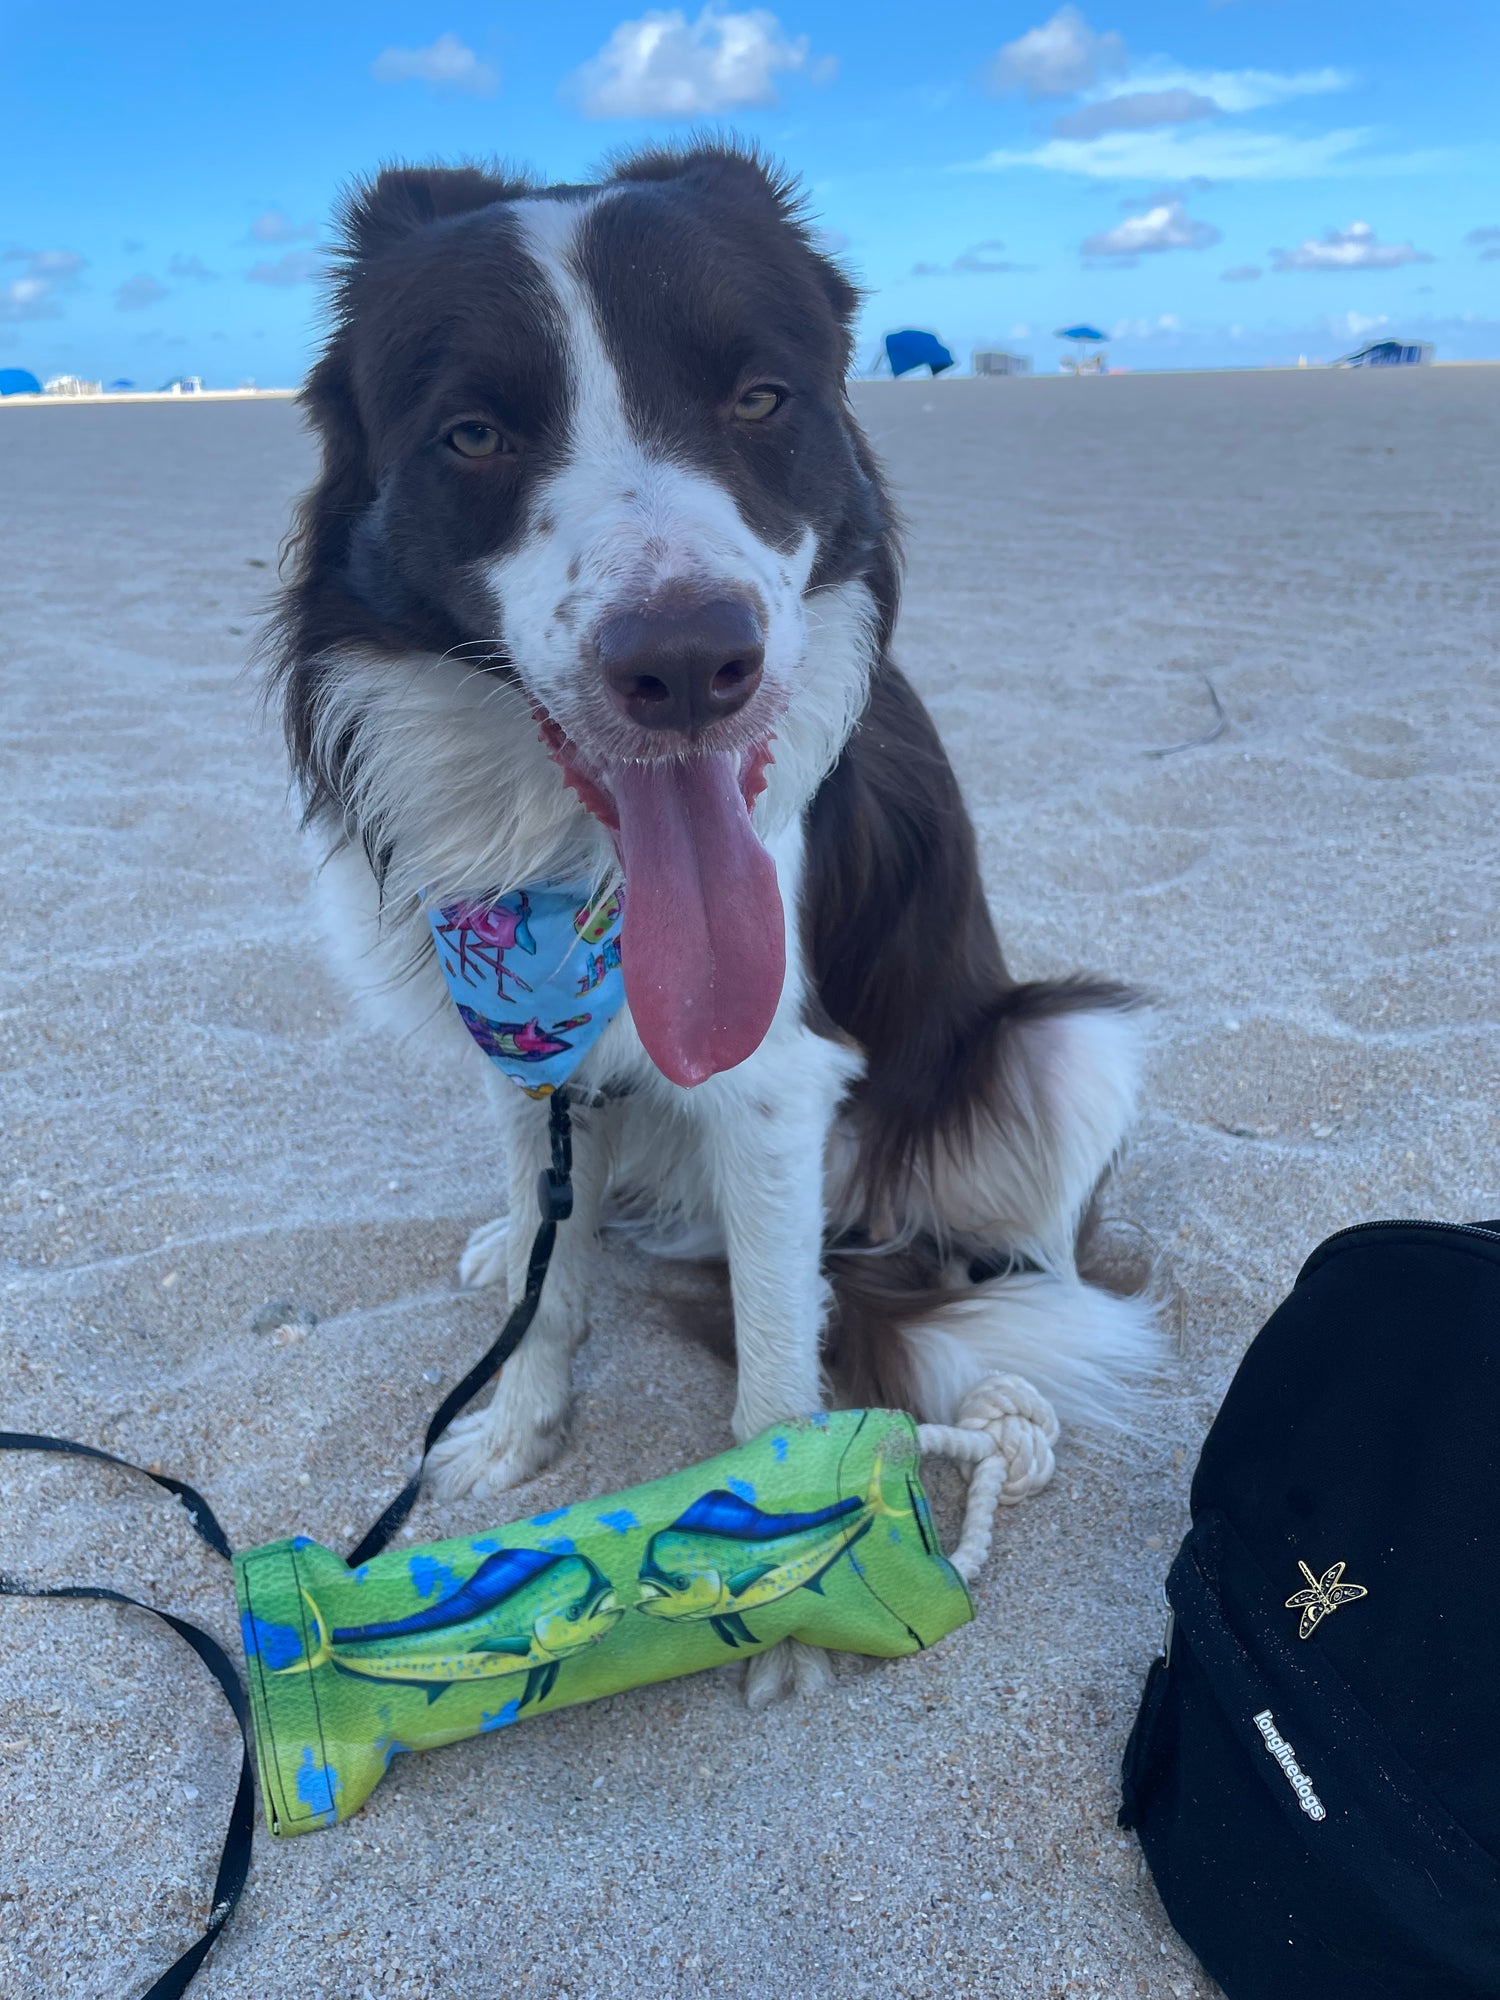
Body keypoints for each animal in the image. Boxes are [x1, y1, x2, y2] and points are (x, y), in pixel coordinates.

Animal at [270, 145, 1160, 1640]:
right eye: (474, 434)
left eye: (757, 399)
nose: (688, 666)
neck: (574, 882)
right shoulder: (521, 1050)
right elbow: (550, 1277)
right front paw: (519, 1430)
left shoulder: (775, 1080)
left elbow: (771, 1376)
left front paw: (787, 1588)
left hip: (1067, 1046)